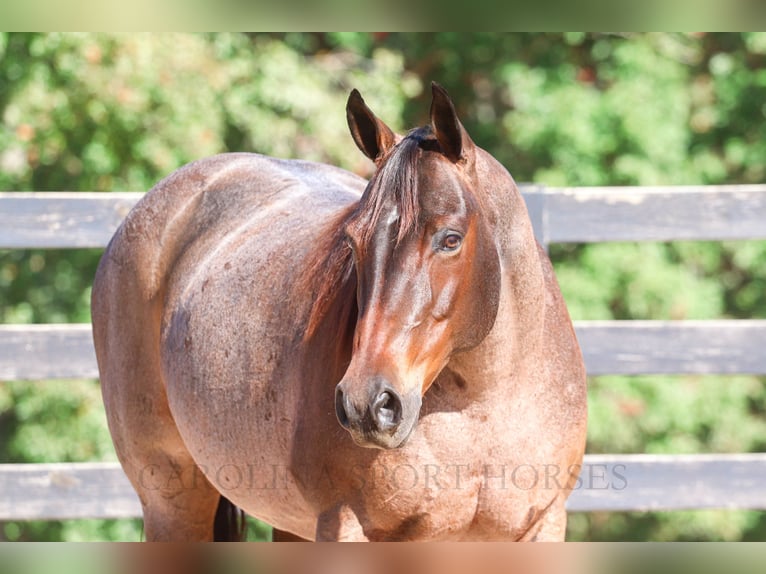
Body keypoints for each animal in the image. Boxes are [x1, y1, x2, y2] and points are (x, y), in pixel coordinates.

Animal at [94, 83, 588, 544]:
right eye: (352, 241)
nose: (367, 404)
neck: (480, 409)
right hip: (173, 503)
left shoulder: (543, 526)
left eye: (450, 238)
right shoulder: (346, 525)